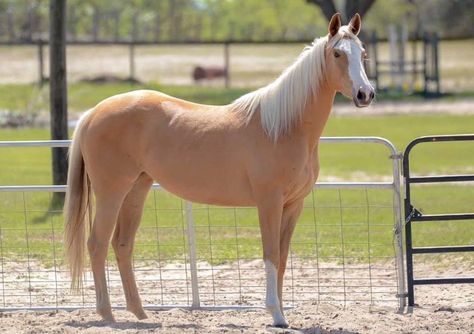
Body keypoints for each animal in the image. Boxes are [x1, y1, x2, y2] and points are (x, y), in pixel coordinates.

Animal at [64, 13, 374, 328]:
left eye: (362, 54)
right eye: (337, 54)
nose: (366, 94)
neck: (284, 127)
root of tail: (93, 112)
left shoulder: (293, 205)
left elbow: (284, 258)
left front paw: (282, 313)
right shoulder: (269, 202)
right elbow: (271, 255)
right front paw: (275, 314)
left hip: (136, 189)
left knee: (123, 244)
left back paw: (140, 312)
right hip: (111, 192)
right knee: (97, 243)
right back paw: (107, 314)